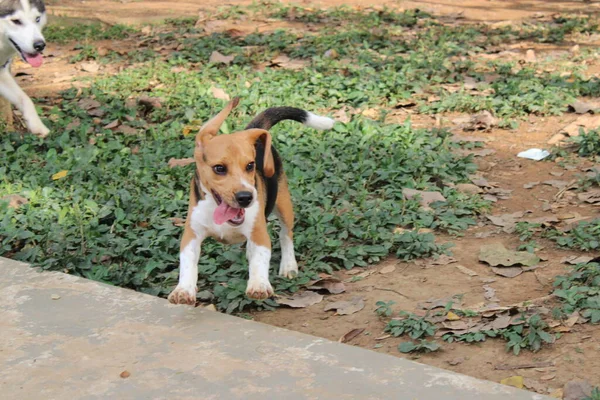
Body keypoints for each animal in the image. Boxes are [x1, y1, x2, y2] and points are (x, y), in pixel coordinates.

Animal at [0, 0, 48, 137]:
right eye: (16, 21)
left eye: (37, 19)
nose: (40, 45)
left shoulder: (1, 72)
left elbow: (25, 99)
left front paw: (36, 125)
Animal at [169, 97, 336, 304]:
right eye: (219, 168)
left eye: (250, 166)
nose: (246, 197)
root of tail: (252, 130)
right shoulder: (192, 233)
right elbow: (187, 263)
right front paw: (183, 290)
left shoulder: (259, 233)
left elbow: (260, 259)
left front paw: (258, 284)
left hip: (283, 203)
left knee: (285, 234)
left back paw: (289, 264)